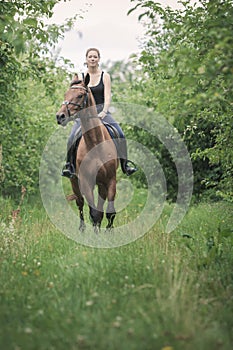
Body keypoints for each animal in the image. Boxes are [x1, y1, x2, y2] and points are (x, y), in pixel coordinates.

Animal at [56, 74, 118, 232]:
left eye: (80, 95)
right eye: (65, 94)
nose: (60, 116)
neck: (95, 143)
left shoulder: (110, 180)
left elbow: (109, 212)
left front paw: (109, 232)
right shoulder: (86, 182)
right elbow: (93, 212)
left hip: (101, 185)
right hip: (74, 182)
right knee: (80, 203)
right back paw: (82, 229)